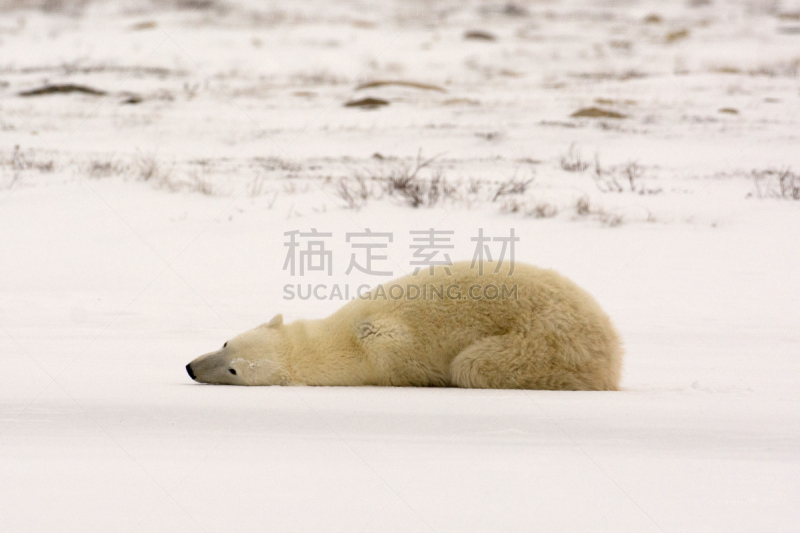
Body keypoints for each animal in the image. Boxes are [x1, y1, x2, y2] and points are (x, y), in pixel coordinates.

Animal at [188, 262, 624, 390]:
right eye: (225, 342)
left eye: (233, 370)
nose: (191, 367)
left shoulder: (386, 349)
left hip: (544, 342)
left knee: (472, 365)